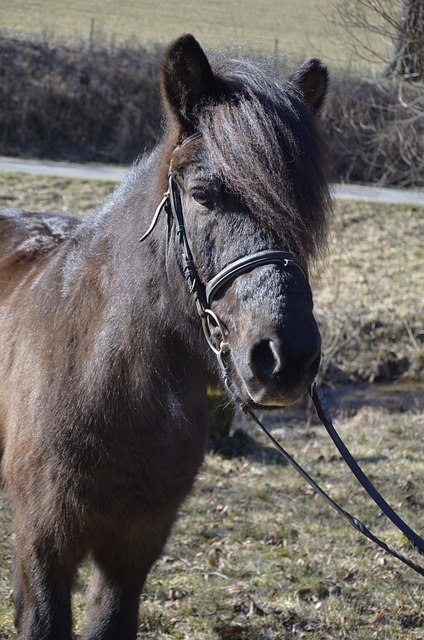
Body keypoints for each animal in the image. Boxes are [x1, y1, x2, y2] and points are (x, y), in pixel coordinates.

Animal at [0, 33, 332, 640]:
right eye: (202, 194)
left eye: (305, 210)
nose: (286, 359)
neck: (101, 375)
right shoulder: (42, 543)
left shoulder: (135, 548)